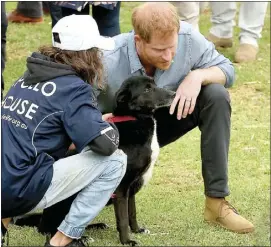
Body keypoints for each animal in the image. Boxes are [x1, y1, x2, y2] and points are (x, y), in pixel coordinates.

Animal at [14, 76, 176, 246]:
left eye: (154, 85)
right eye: (147, 89)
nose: (173, 94)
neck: (135, 118)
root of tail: (42, 221)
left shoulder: (132, 186)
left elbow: (132, 213)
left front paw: (137, 230)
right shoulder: (122, 187)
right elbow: (123, 218)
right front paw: (126, 241)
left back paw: (95, 227)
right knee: (53, 229)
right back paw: (80, 237)